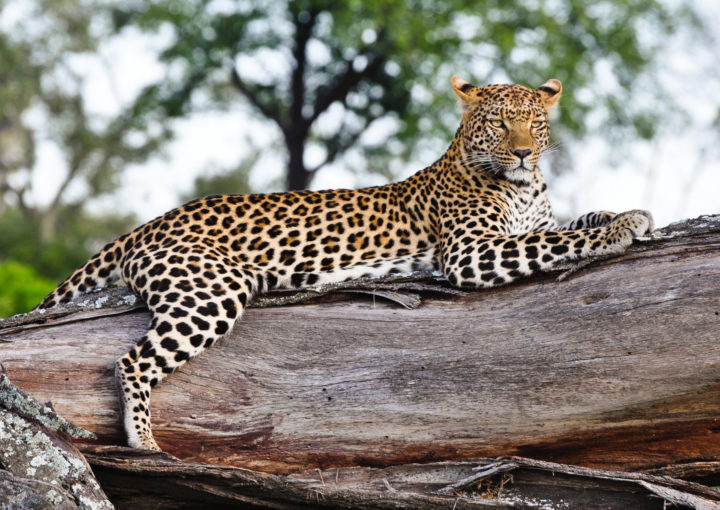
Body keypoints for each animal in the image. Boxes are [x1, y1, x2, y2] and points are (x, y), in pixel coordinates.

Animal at [32, 73, 652, 448]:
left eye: (534, 121)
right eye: (499, 122)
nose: (523, 152)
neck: (522, 186)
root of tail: (153, 221)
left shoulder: (536, 221)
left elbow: (572, 221)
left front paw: (635, 213)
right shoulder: (473, 252)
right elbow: (556, 243)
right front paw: (621, 230)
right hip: (212, 291)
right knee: (131, 362)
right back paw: (144, 442)